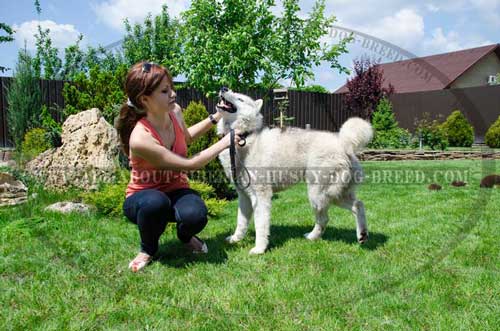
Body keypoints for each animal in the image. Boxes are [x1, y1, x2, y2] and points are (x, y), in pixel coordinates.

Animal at [217, 89, 374, 255]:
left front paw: (259, 249)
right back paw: (361, 234)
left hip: (319, 195)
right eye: (232, 91)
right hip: (334, 194)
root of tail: (344, 142)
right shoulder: (243, 196)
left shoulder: (261, 196)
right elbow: (241, 222)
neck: (245, 136)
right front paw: (235, 239)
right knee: (358, 205)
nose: (223, 88)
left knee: (325, 218)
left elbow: (260, 225)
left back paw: (314, 236)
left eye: (240, 98)